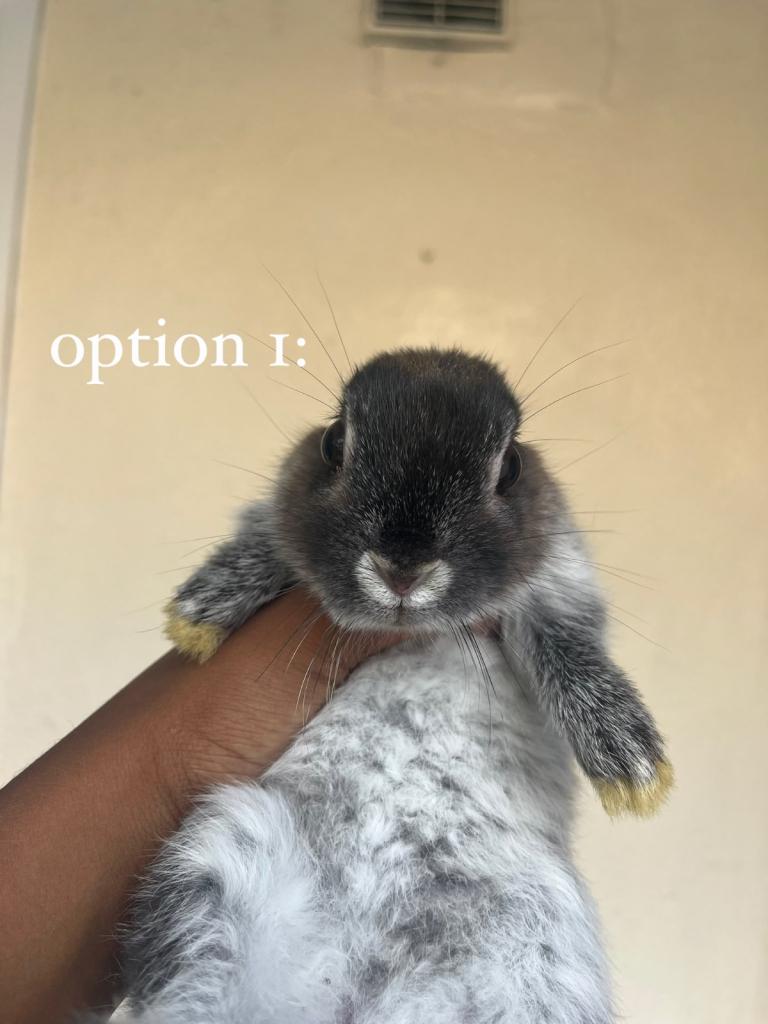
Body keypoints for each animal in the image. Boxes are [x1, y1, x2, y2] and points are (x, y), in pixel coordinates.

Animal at [114, 347, 672, 1023]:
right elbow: (266, 542)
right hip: (216, 876)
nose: (403, 568)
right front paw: (201, 611)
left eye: (509, 467)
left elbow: (569, 652)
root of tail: (348, 981)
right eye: (334, 442)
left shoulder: (560, 587)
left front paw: (633, 767)